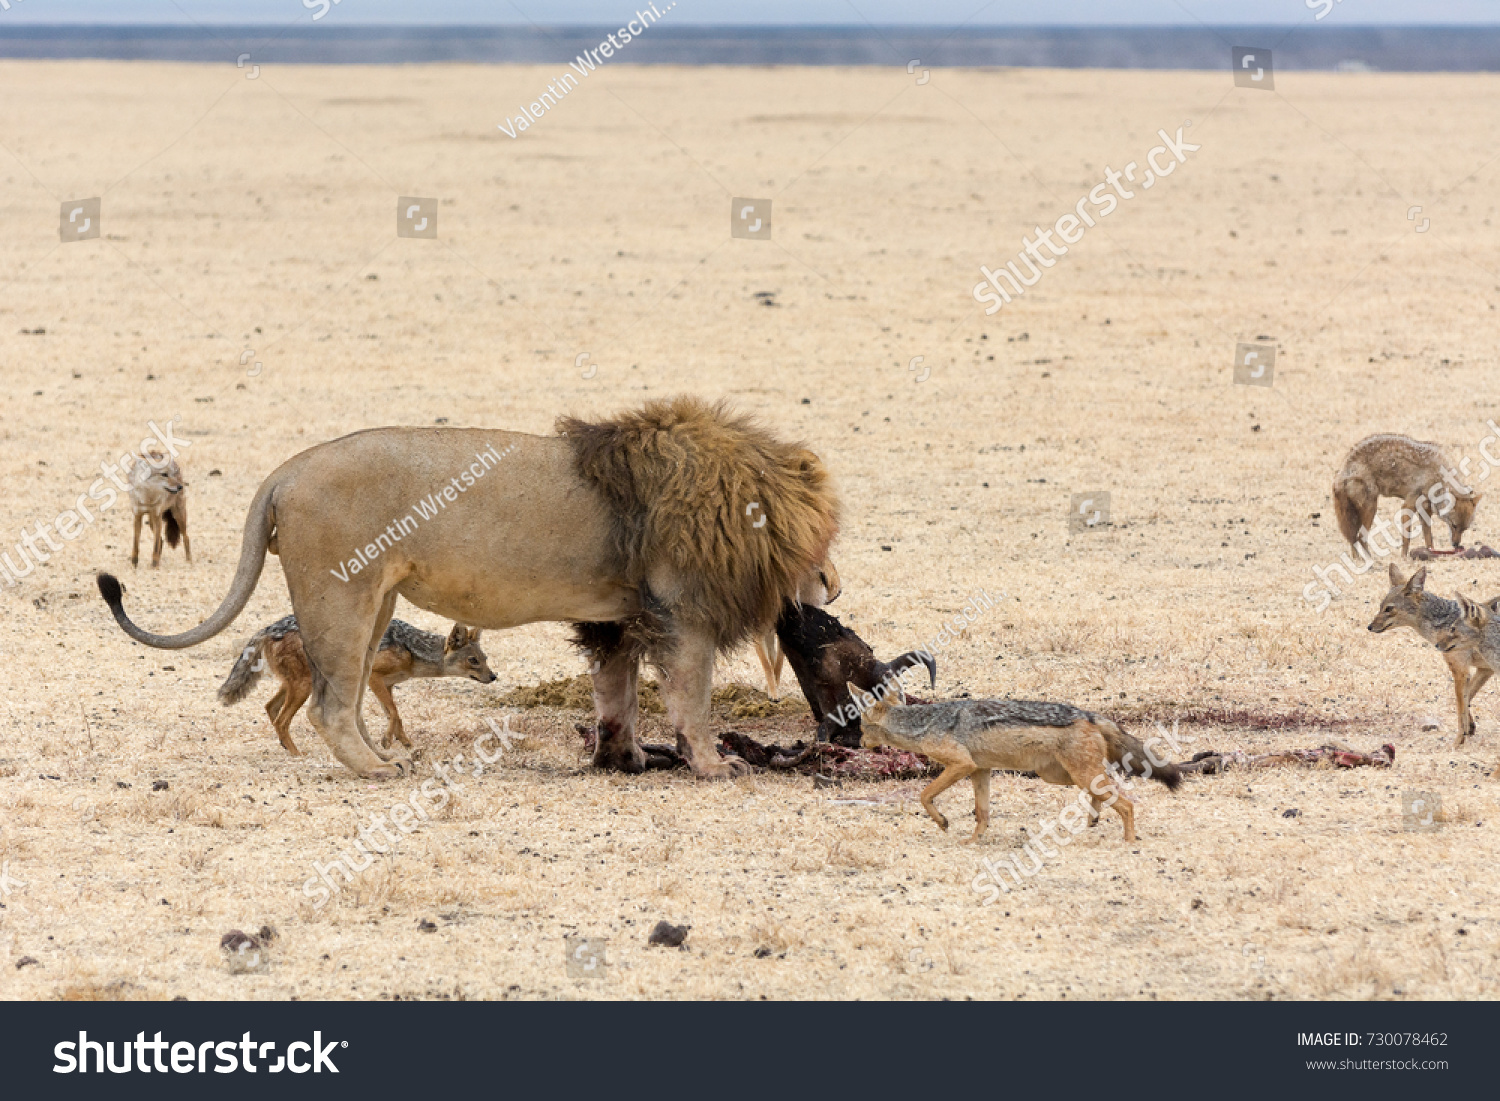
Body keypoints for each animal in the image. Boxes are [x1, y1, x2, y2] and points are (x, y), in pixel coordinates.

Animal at [98, 396, 840, 786]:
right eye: (824, 537)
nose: (832, 586)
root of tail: (286, 469)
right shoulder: (683, 614)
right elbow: (693, 699)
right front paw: (714, 766)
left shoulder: (620, 618)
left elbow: (617, 698)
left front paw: (623, 758)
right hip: (342, 593)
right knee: (328, 706)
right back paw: (376, 771)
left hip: (375, 603)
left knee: (349, 697)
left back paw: (386, 755)